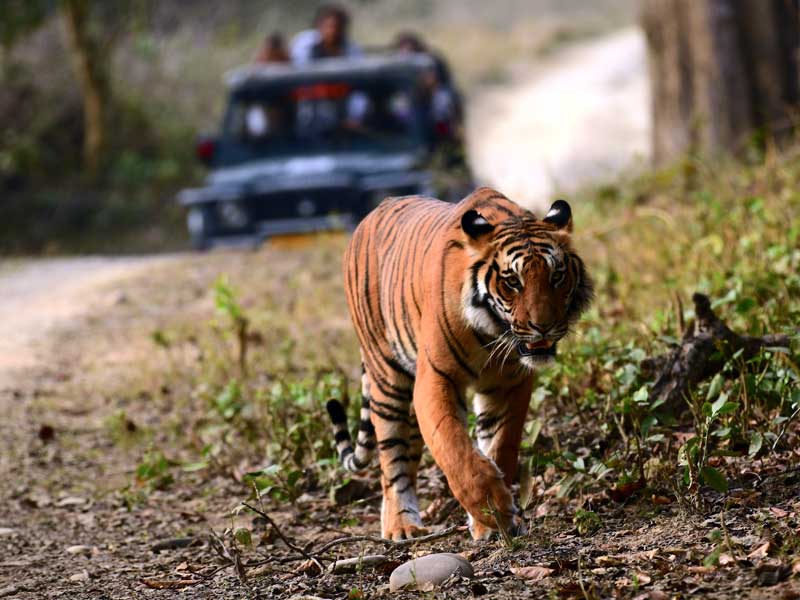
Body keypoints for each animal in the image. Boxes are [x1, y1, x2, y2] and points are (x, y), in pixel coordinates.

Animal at [324, 186, 592, 540]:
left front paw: (494, 522)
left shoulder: (510, 383)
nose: (544, 326)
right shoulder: (436, 378)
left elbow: (500, 446)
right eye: (513, 282)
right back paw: (401, 526)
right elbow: (454, 449)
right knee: (391, 460)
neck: (493, 333)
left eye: (557, 276)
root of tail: (373, 212)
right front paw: (493, 510)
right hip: (387, 378)